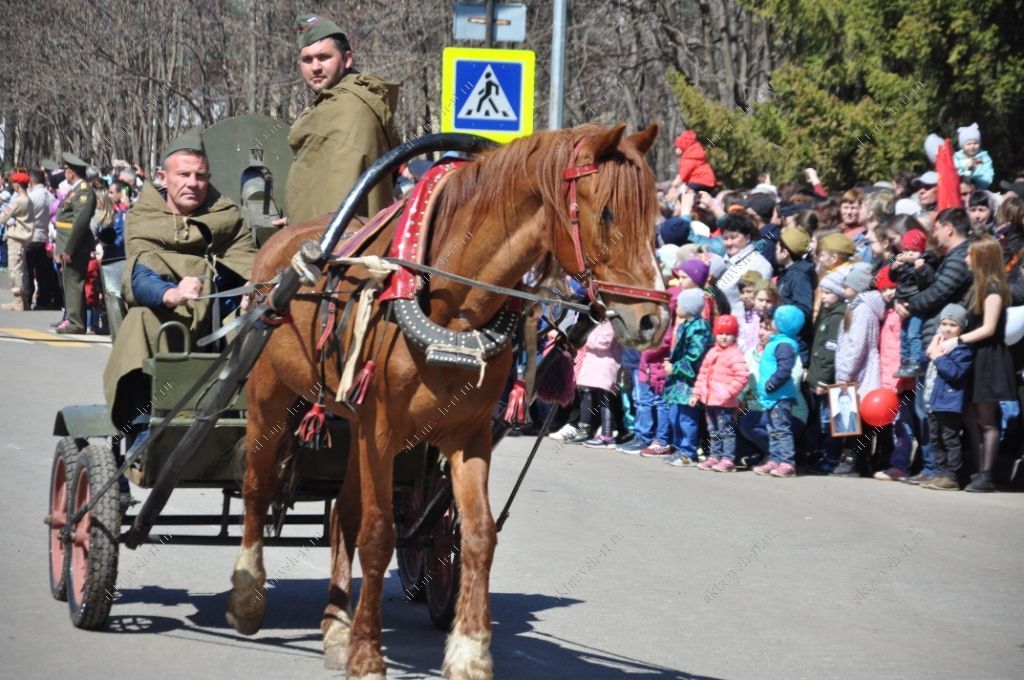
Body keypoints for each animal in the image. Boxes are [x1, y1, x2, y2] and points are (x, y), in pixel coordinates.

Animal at [228, 123, 667, 680]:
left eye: (653, 216)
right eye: (607, 212)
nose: (653, 320)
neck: (450, 297)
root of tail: (278, 247)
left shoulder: (467, 433)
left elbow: (477, 535)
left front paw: (469, 651)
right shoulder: (379, 429)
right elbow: (378, 535)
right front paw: (368, 654)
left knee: (342, 512)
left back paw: (335, 625)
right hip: (269, 397)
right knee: (258, 487)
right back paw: (248, 597)